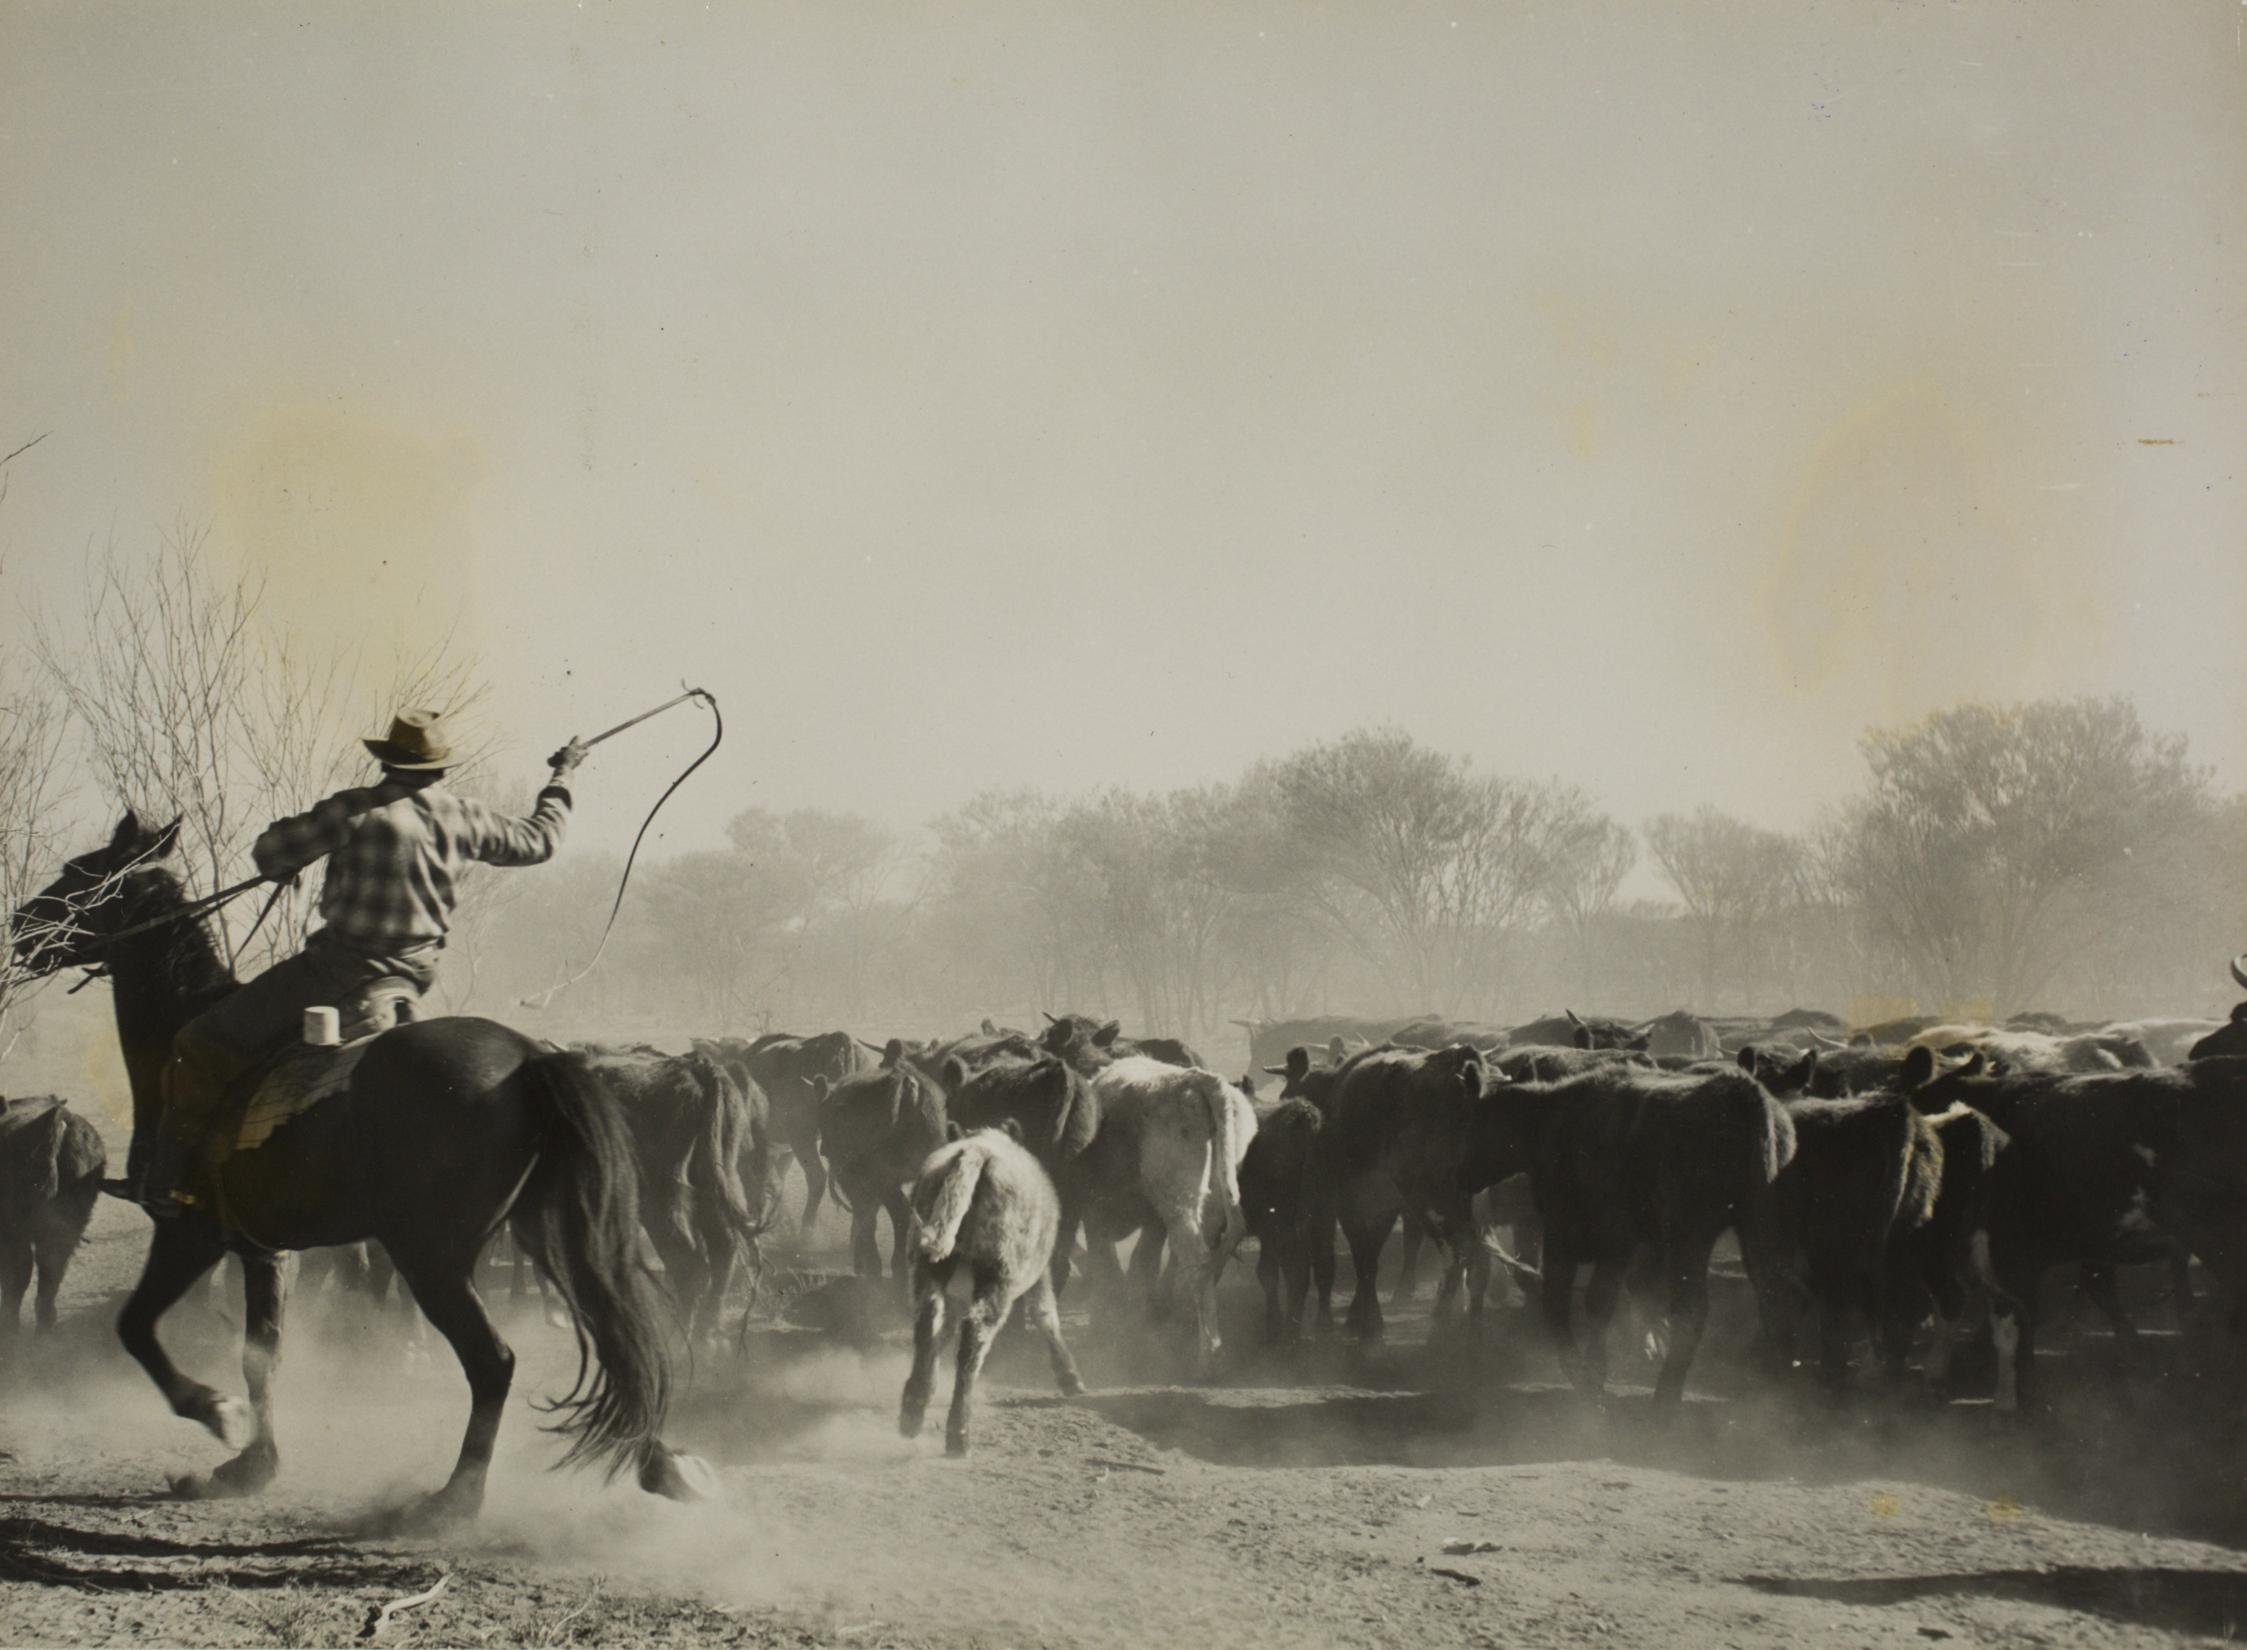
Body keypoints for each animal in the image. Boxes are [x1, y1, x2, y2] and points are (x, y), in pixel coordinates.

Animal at [13, 822, 714, 1528]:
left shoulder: (191, 1234)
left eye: (81, 873)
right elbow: (262, 1355)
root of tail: (528, 1059)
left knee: (495, 1362)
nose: (21, 927)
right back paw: (664, 1465)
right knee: (617, 1335)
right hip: (547, 1233)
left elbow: (136, 1328)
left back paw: (454, 1499)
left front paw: (216, 1413)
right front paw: (250, 1467)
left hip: (431, 1258)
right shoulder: (265, 1251)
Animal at [1465, 1065, 1797, 1402]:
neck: (1550, 1118)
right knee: (1777, 1298)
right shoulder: (1619, 1244)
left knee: (1692, 1309)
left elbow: (1562, 1300)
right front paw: (1597, 1369)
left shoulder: (1570, 1231)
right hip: (1759, 1228)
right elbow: (1604, 1298)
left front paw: (1585, 1376)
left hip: (1690, 1234)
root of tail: (1743, 1095)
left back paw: (1664, 1400)